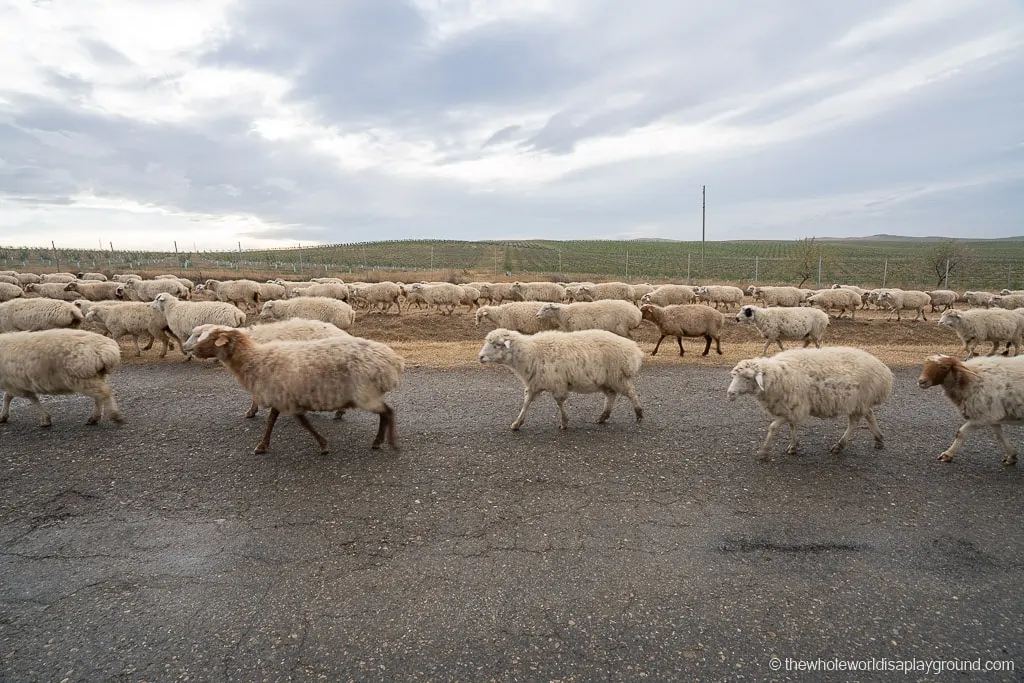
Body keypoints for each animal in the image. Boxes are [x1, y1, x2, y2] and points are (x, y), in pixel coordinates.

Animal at [189, 325, 403, 454]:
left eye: (211, 339)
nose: (193, 350)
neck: (254, 358)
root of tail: (392, 360)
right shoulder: (281, 396)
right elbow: (273, 421)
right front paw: (263, 445)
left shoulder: (285, 398)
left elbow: (302, 423)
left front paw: (323, 445)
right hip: (367, 393)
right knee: (385, 413)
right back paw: (378, 441)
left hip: (364, 393)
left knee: (388, 412)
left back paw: (388, 442)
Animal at [477, 327, 638, 430]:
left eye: (497, 344)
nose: (480, 357)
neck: (532, 351)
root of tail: (633, 349)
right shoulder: (534, 384)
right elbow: (526, 403)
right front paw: (517, 423)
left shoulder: (558, 383)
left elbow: (559, 402)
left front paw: (564, 422)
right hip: (607, 380)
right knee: (611, 395)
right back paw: (603, 416)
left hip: (618, 376)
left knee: (631, 392)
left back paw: (639, 413)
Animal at [724, 348, 892, 458]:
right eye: (734, 376)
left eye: (747, 377)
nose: (730, 394)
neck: (776, 374)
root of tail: (884, 370)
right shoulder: (791, 407)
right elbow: (792, 426)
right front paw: (794, 446)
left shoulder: (795, 407)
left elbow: (773, 427)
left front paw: (764, 451)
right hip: (858, 401)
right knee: (867, 414)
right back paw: (878, 439)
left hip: (857, 399)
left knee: (856, 421)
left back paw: (841, 445)